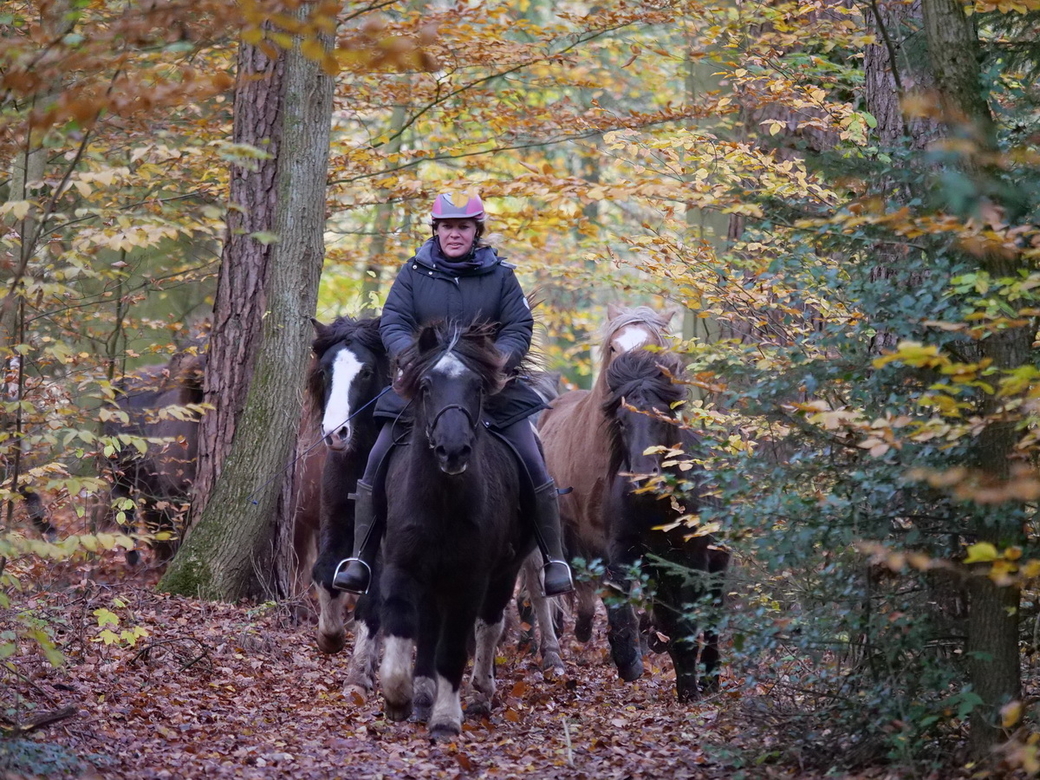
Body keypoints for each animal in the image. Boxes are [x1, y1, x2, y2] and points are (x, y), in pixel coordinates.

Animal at [376, 324, 536, 744]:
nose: (453, 451)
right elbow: (404, 631)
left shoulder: (469, 579)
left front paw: (447, 719)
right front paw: (399, 697)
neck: (442, 501)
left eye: (477, 386)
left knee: (489, 624)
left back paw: (482, 689)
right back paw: (422, 696)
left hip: (504, 572)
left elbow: (452, 650)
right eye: (426, 385)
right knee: (430, 628)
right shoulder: (402, 569)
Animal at [599, 347, 728, 703]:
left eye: (662, 416)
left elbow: (687, 623)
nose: (645, 479)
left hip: (718, 564)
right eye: (621, 421)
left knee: (712, 617)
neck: (657, 508)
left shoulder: (692, 559)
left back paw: (709, 677)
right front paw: (628, 660)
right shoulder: (625, 548)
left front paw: (690, 690)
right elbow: (619, 598)